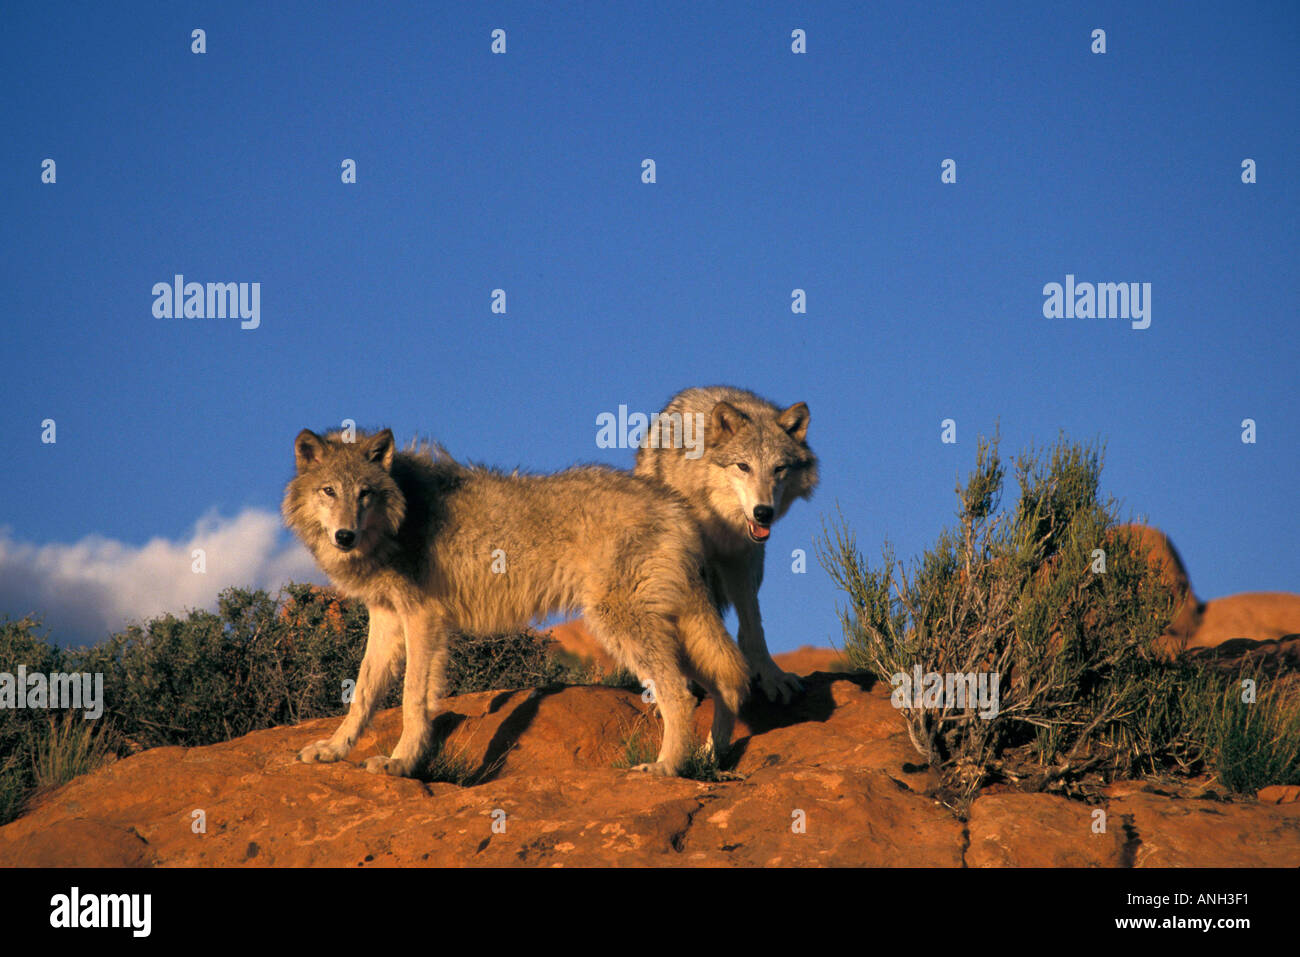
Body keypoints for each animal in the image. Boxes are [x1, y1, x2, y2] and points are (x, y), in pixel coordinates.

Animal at [284, 426, 754, 780]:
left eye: (365, 493)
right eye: (329, 491)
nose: (345, 536)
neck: (401, 516)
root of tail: (678, 508)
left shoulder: (424, 618)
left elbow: (412, 697)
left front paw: (401, 762)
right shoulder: (386, 616)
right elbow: (363, 693)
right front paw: (333, 750)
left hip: (622, 625)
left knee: (681, 695)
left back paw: (666, 768)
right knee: (726, 684)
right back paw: (708, 760)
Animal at [634, 387, 816, 702]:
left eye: (779, 468)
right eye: (743, 466)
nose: (763, 512)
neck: (717, 518)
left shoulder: (741, 557)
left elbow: (753, 626)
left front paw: (772, 675)